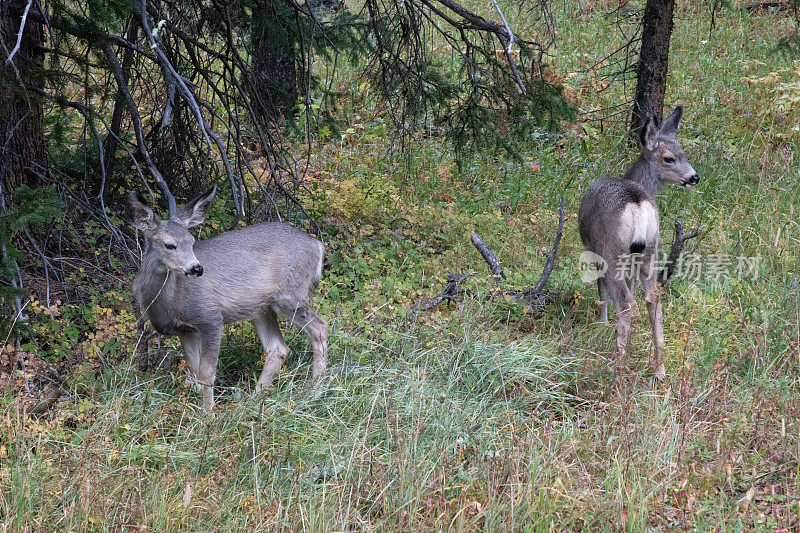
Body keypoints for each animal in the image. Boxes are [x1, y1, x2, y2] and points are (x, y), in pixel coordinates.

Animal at [126, 185, 326, 410]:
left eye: (192, 242)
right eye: (169, 245)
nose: (197, 268)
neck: (167, 300)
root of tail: (318, 245)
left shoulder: (210, 317)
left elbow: (206, 373)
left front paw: (209, 414)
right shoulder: (184, 330)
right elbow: (194, 369)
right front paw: (197, 408)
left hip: (290, 294)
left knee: (319, 328)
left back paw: (316, 391)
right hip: (261, 307)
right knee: (278, 348)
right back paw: (253, 400)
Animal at [580, 106, 696, 380]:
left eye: (683, 155)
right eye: (670, 158)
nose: (694, 177)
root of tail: (638, 205)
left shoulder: (594, 249)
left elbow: (602, 291)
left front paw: (602, 323)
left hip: (612, 251)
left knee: (626, 303)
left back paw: (618, 365)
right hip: (651, 249)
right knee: (653, 300)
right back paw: (659, 368)